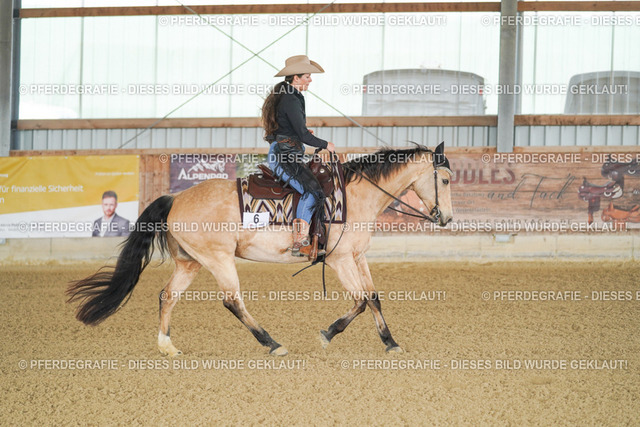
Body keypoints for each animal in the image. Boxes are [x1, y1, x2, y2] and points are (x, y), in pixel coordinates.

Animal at [67, 142, 453, 356]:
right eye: (446, 179)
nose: (447, 218)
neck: (357, 196)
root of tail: (175, 198)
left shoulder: (358, 257)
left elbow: (373, 298)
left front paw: (390, 342)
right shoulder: (341, 260)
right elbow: (358, 301)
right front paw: (327, 334)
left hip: (191, 262)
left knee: (168, 295)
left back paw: (167, 346)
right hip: (219, 259)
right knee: (232, 301)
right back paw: (272, 343)